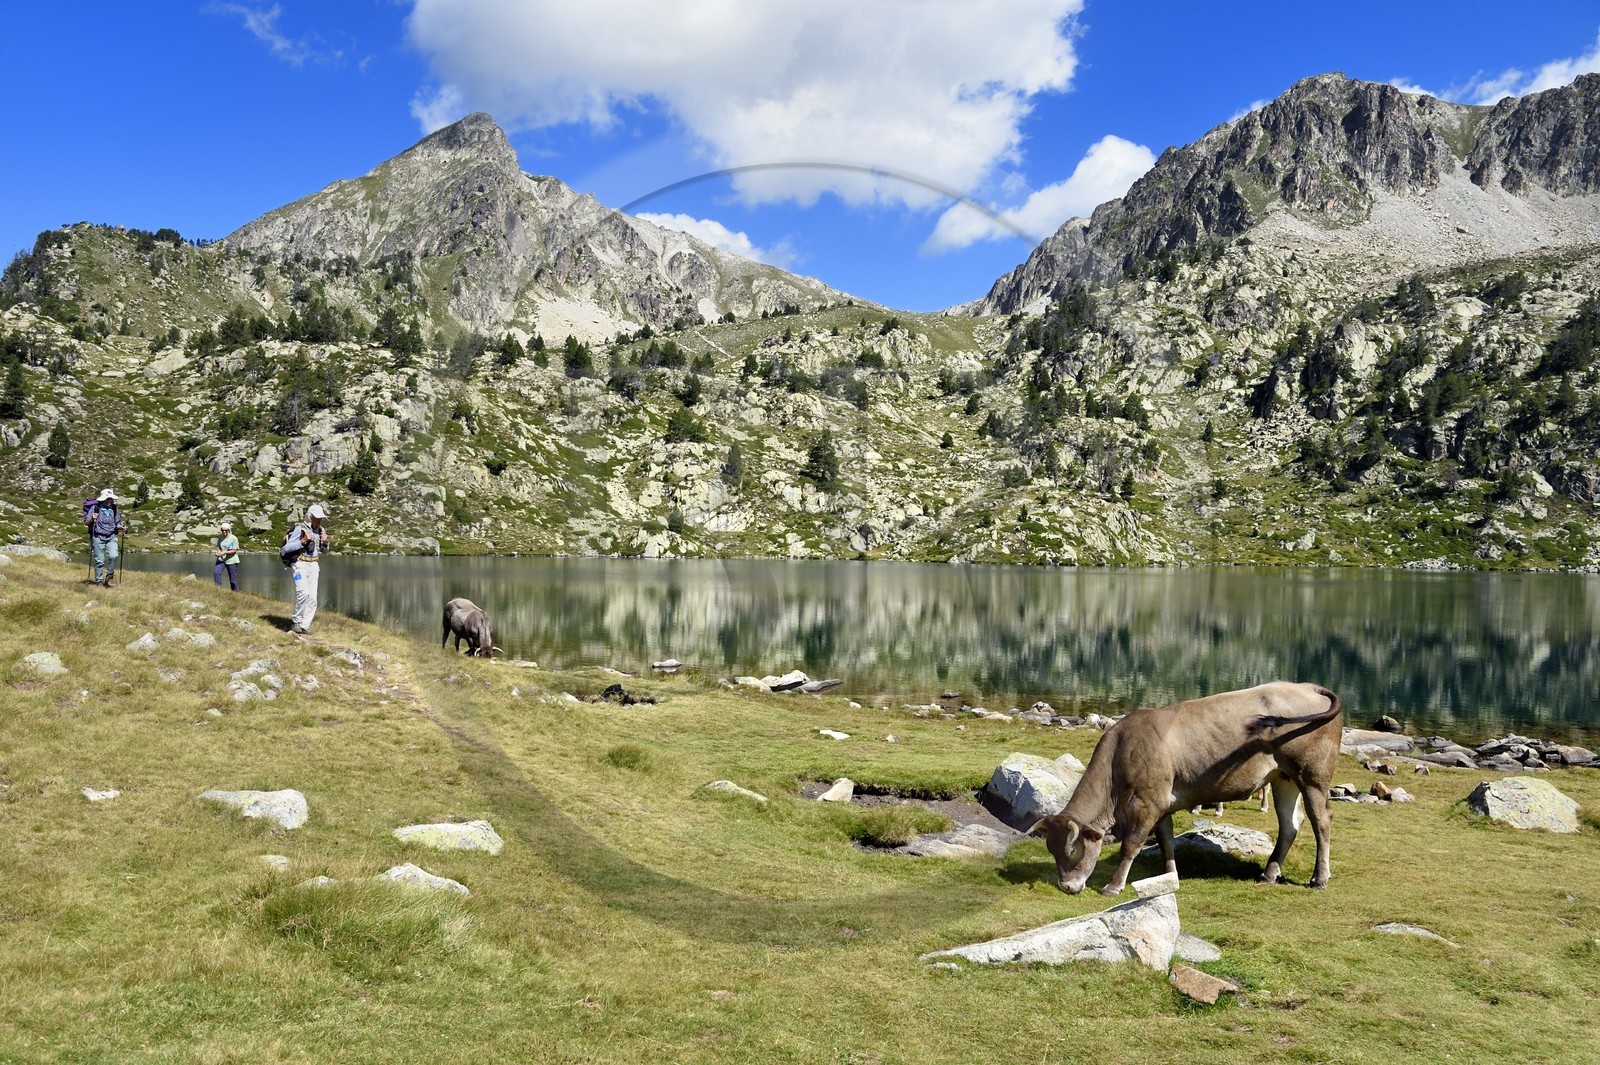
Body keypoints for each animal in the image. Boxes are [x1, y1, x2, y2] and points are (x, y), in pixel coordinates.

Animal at [1033, 682, 1342, 896]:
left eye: (1072, 851)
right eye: (1051, 850)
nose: (1067, 887)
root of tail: (1307, 686)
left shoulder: (1146, 803)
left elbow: (1131, 845)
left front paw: (1114, 886)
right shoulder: (1162, 804)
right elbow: (1166, 841)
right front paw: (1170, 877)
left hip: (1312, 776)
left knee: (1321, 821)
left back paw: (1319, 879)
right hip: (1283, 778)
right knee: (1290, 824)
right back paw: (1269, 874)